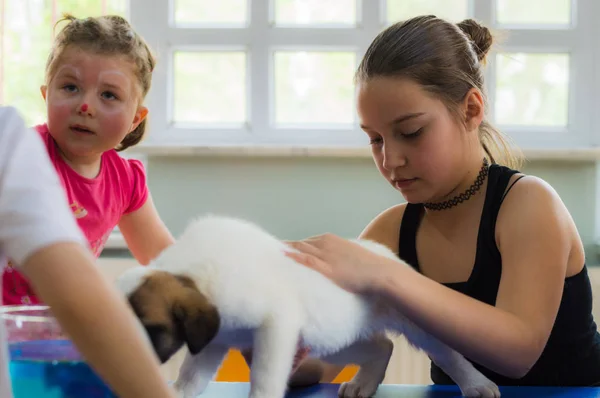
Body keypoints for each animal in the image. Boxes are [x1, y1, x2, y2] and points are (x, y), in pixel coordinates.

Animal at [115, 215, 500, 398]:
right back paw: (364, 383)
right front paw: (175, 390)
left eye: (151, 329)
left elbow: (266, 377)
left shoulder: (276, 326)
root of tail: (380, 253)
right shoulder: (214, 340)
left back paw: (477, 385)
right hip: (333, 340)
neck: (191, 273)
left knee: (447, 353)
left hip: (418, 321)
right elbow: (192, 376)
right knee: (381, 346)